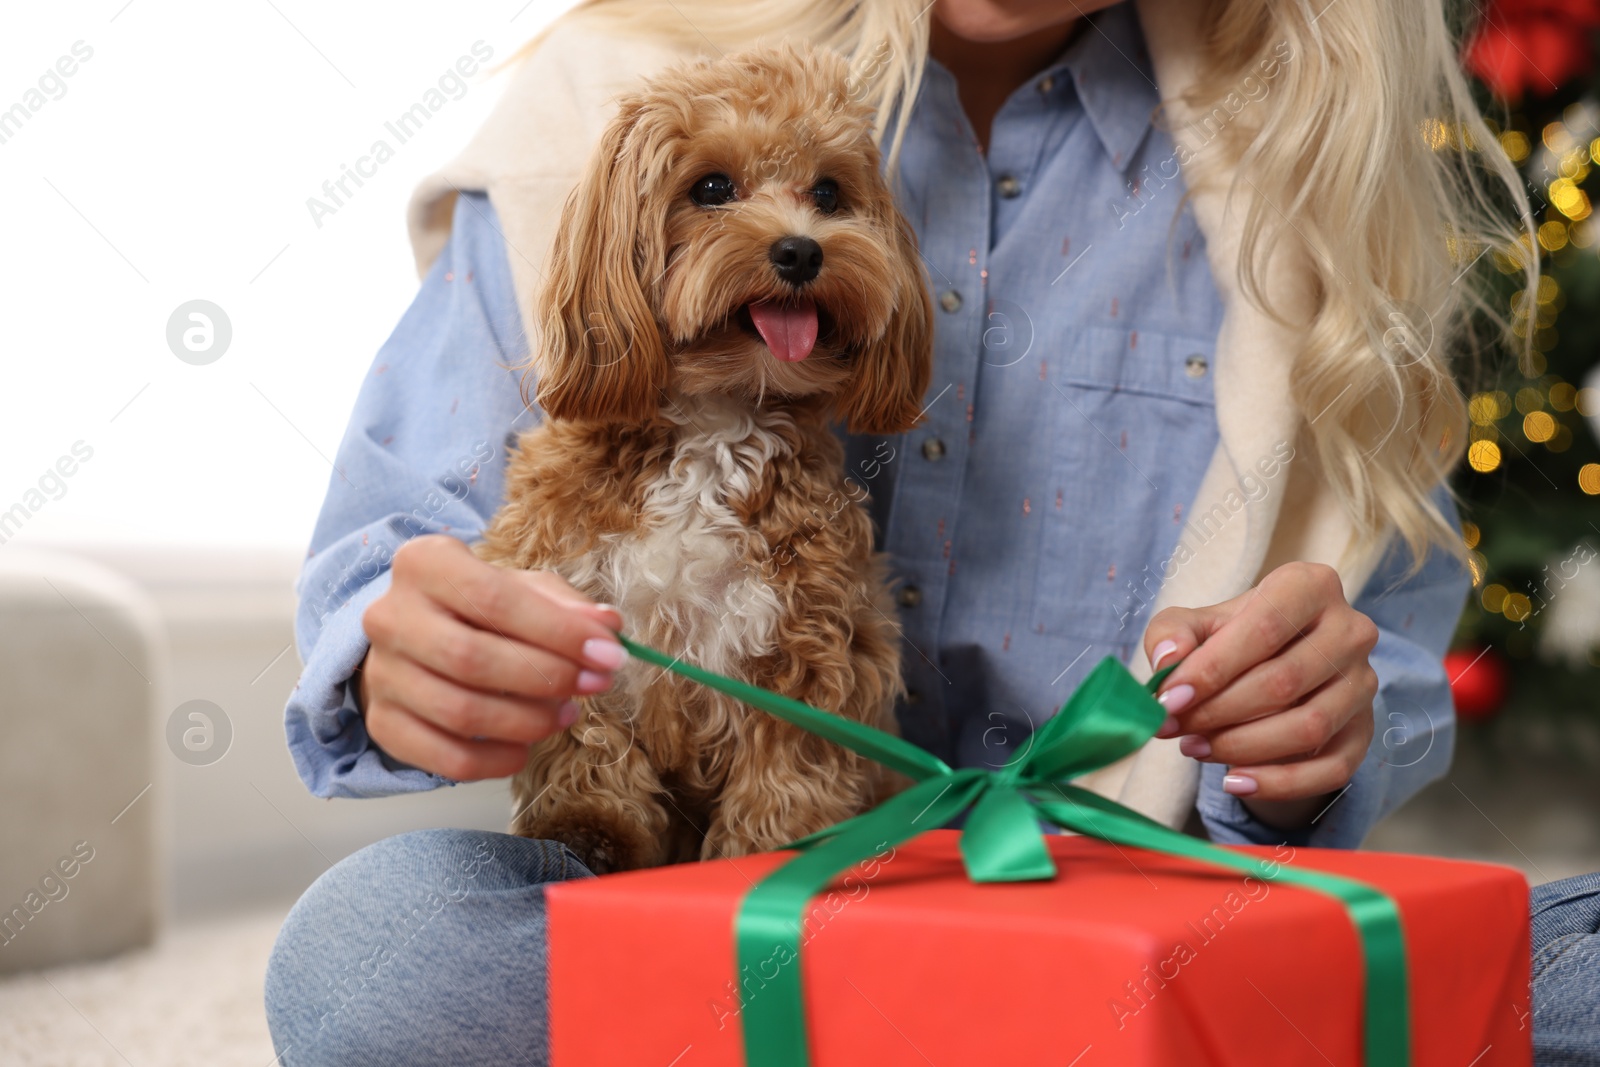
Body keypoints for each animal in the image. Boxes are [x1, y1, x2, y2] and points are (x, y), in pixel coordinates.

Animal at [467, 43, 934, 876]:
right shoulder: (563, 599)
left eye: (828, 192)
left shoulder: (815, 643)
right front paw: (592, 824)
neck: (715, 415)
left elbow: (790, 771)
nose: (800, 249)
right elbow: (584, 738)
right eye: (712, 187)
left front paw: (769, 852)